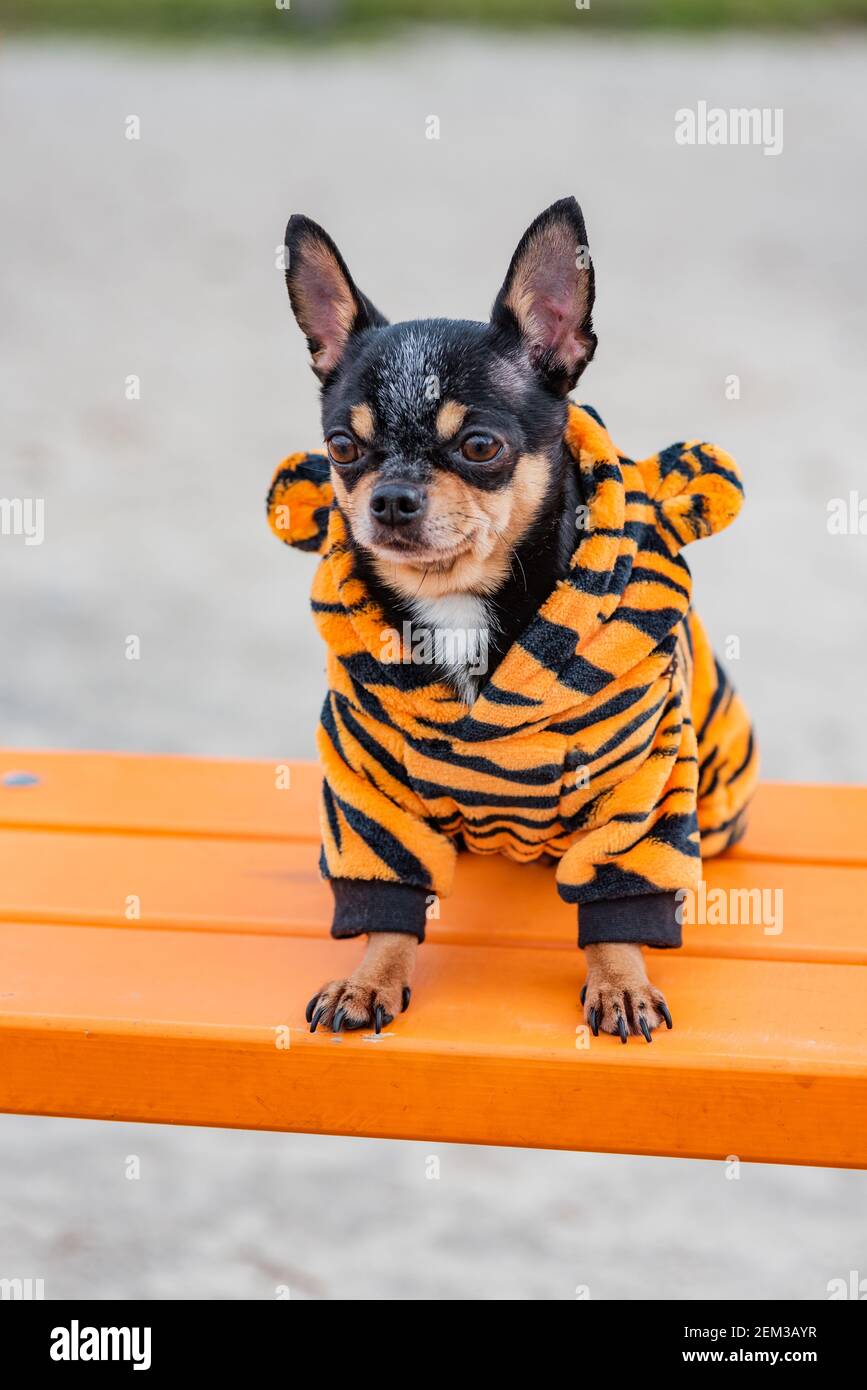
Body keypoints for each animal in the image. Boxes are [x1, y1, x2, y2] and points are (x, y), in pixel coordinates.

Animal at [276, 195, 750, 1045]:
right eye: (341, 448)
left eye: (479, 445)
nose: (389, 498)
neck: (458, 602)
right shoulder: (368, 784)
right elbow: (387, 890)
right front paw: (371, 976)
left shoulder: (639, 784)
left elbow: (618, 894)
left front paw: (619, 981)